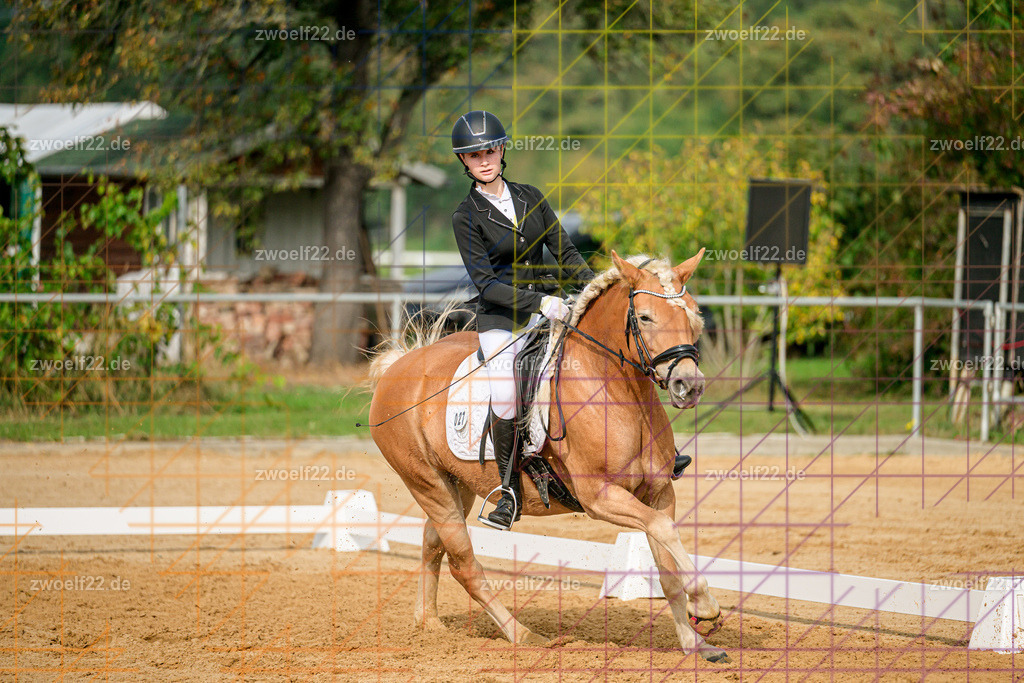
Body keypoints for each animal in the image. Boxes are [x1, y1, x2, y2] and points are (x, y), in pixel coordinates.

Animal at [366, 249, 729, 663]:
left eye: (692, 312)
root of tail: (397, 366)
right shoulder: (599, 497)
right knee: (464, 564)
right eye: (645, 317)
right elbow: (665, 530)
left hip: (457, 485)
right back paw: (523, 635)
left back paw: (430, 625)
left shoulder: (658, 493)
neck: (616, 390)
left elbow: (667, 561)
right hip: (426, 483)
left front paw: (695, 644)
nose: (690, 385)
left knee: (431, 544)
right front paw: (706, 606)